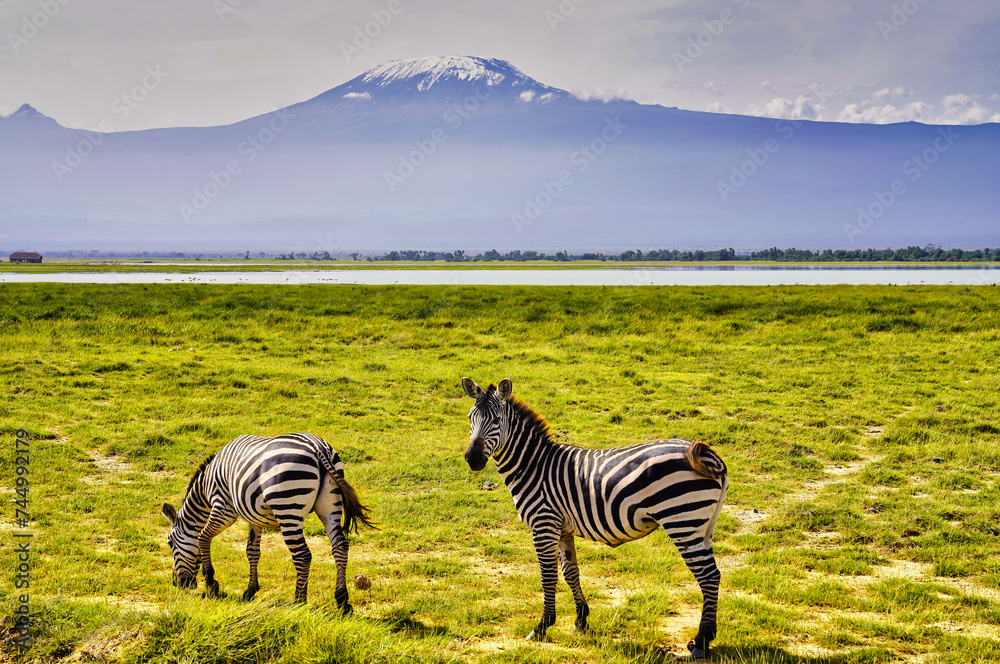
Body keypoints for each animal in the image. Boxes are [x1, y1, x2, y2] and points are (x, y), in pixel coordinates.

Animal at [161, 432, 374, 612]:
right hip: (330, 506)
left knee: (303, 555)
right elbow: (252, 551)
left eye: (170, 543)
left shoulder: (223, 507)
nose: (176, 584)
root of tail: (318, 447)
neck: (205, 489)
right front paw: (250, 590)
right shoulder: (253, 517)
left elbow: (202, 537)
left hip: (287, 507)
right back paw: (342, 600)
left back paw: (298, 601)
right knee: (340, 546)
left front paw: (211, 582)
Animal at [461, 378, 728, 659]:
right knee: (714, 576)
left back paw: (700, 643)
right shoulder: (562, 528)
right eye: (470, 418)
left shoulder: (544, 523)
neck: (533, 466)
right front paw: (581, 620)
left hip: (683, 521)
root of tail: (707, 454)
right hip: (703, 526)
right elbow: (571, 572)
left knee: (708, 576)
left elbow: (548, 576)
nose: (472, 459)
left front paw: (542, 627)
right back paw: (705, 638)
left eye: (496, 420)